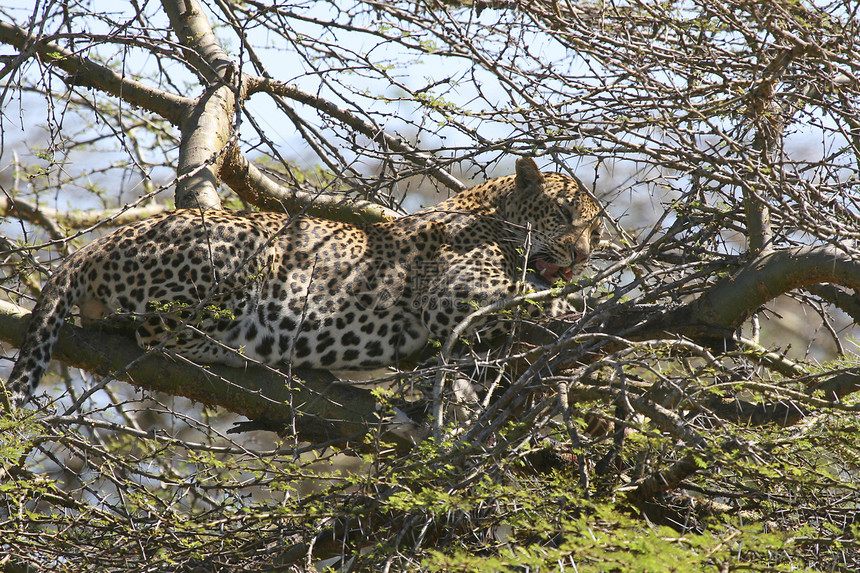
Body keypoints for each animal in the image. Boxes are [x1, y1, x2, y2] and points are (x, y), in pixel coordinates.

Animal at [3, 156, 600, 406]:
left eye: (595, 230)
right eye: (566, 216)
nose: (583, 255)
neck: (494, 210)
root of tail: (100, 243)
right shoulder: (457, 296)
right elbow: (530, 294)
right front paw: (573, 307)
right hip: (239, 253)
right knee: (158, 331)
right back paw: (247, 348)